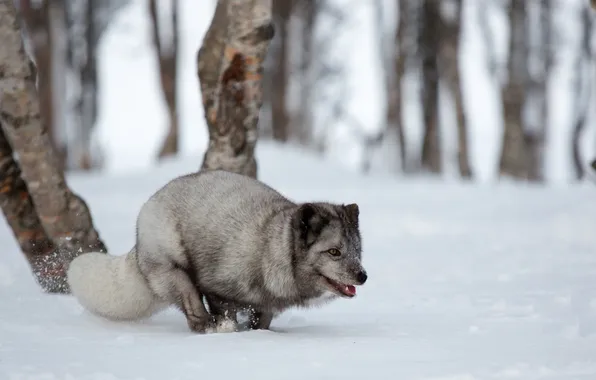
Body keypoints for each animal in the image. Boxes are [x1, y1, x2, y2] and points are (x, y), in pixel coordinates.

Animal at [70, 170, 368, 332]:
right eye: (334, 252)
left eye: (357, 251)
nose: (363, 276)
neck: (271, 248)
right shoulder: (216, 286)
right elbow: (224, 310)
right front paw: (230, 330)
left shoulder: (266, 306)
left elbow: (262, 322)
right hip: (176, 273)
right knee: (193, 314)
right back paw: (211, 327)